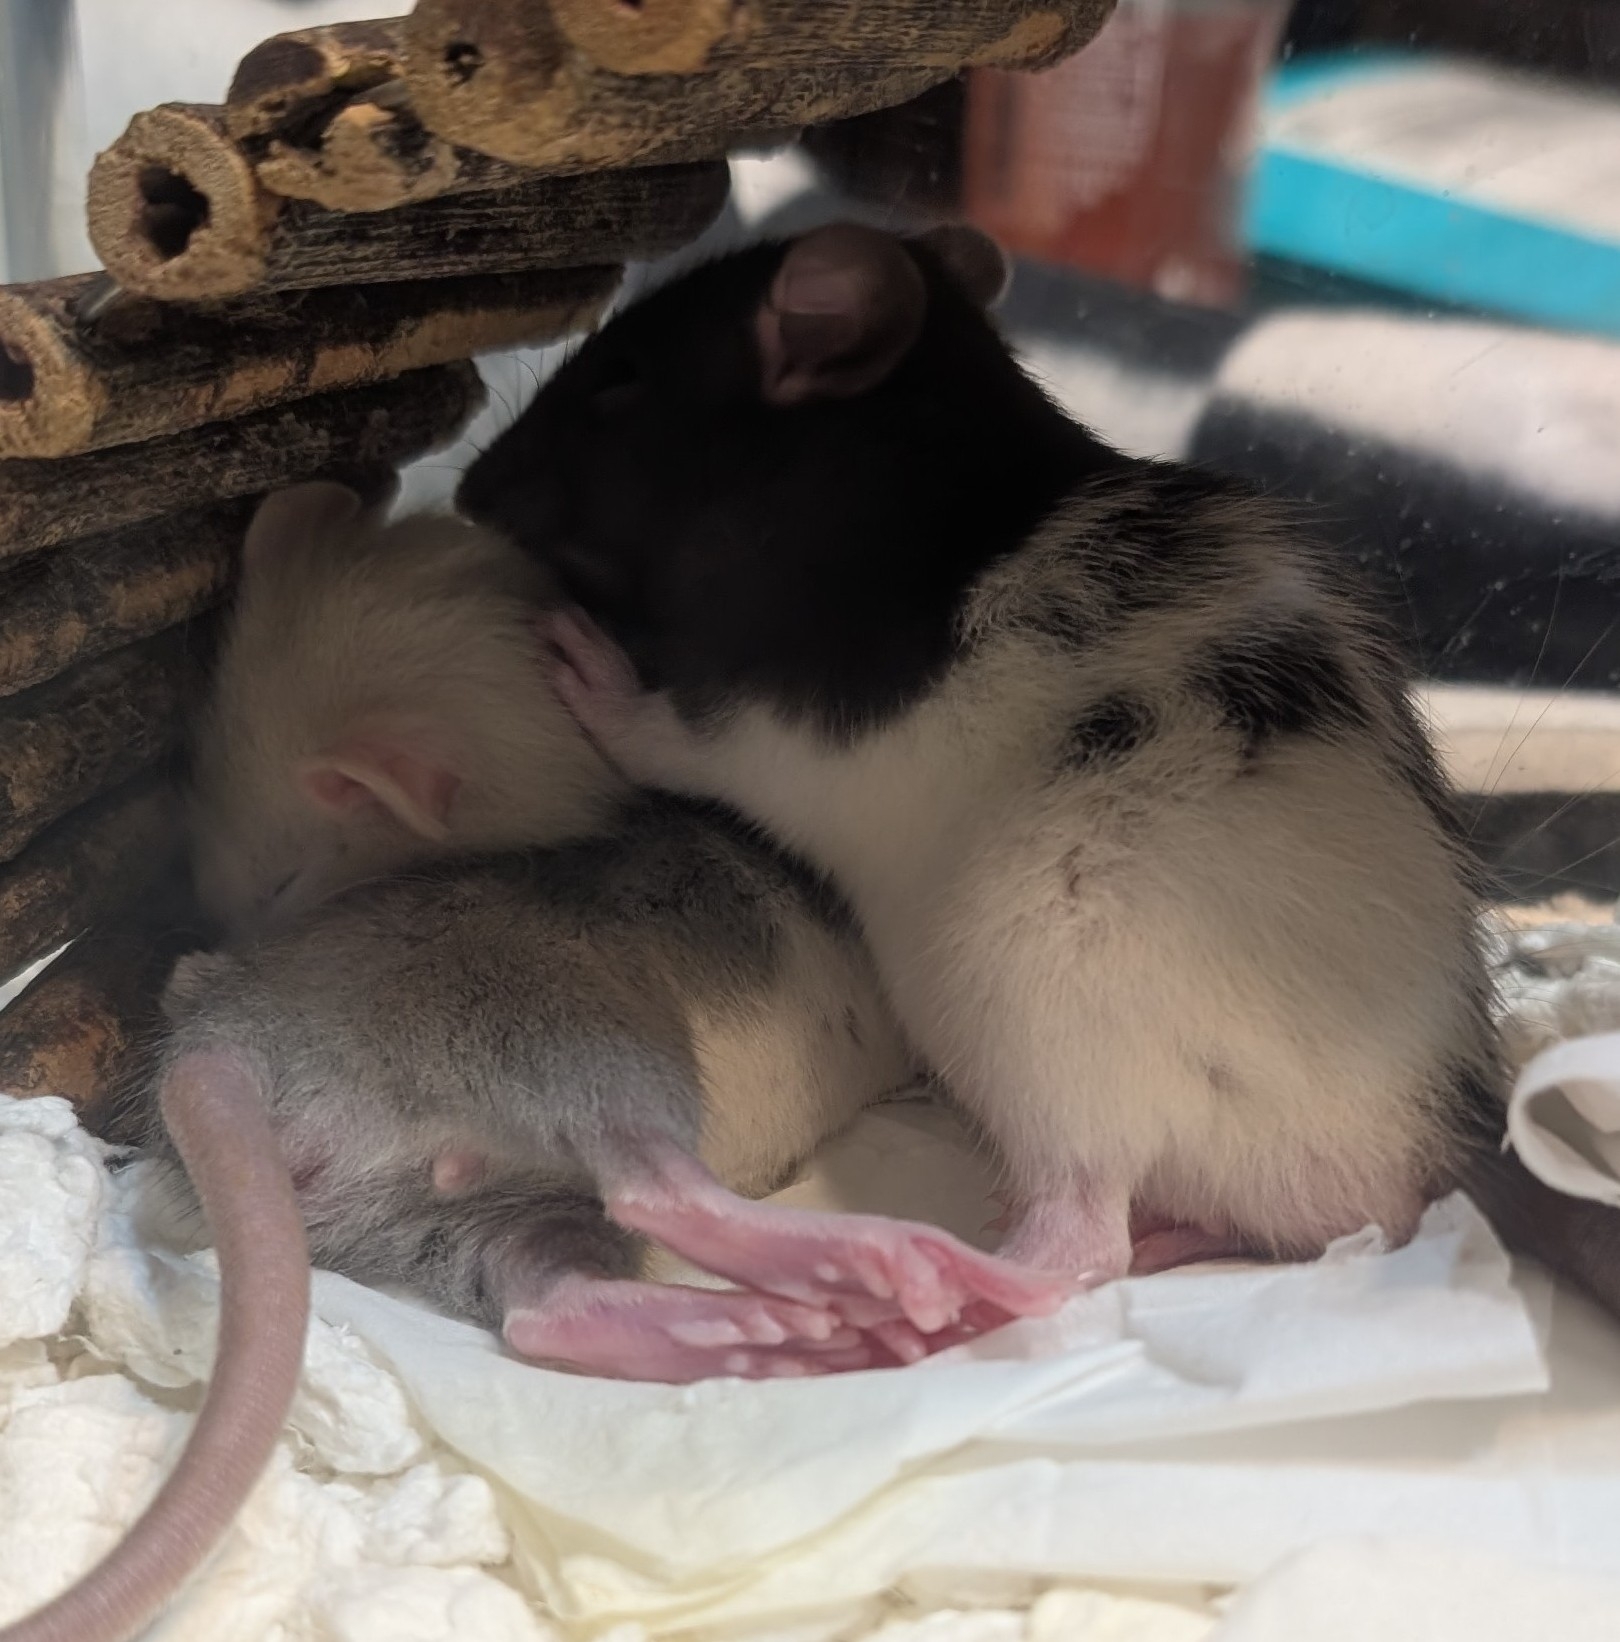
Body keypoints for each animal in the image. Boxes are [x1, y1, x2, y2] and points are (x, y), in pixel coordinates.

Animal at [457, 221, 1508, 1285]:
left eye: (616, 380)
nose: (464, 490)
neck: (926, 474)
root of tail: (1400, 1154)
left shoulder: (768, 724)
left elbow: (665, 738)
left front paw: (590, 668)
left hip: (1049, 1021)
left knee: (1078, 1243)